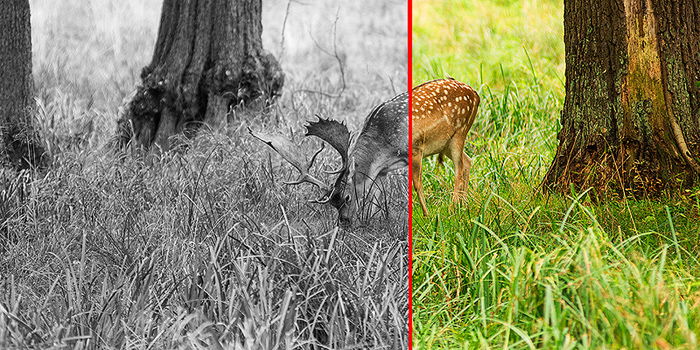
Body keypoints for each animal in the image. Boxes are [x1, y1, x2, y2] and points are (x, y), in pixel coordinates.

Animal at [250, 91, 408, 226]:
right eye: (333, 203)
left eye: (347, 197)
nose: (344, 222)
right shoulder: (383, 170)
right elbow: (375, 198)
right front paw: (369, 221)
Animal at [410, 78, 482, 216]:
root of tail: (476, 95)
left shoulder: (416, 148)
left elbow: (416, 183)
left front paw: (426, 215)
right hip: (446, 143)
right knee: (467, 161)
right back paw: (464, 205)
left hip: (460, 131)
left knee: (459, 167)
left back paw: (453, 208)